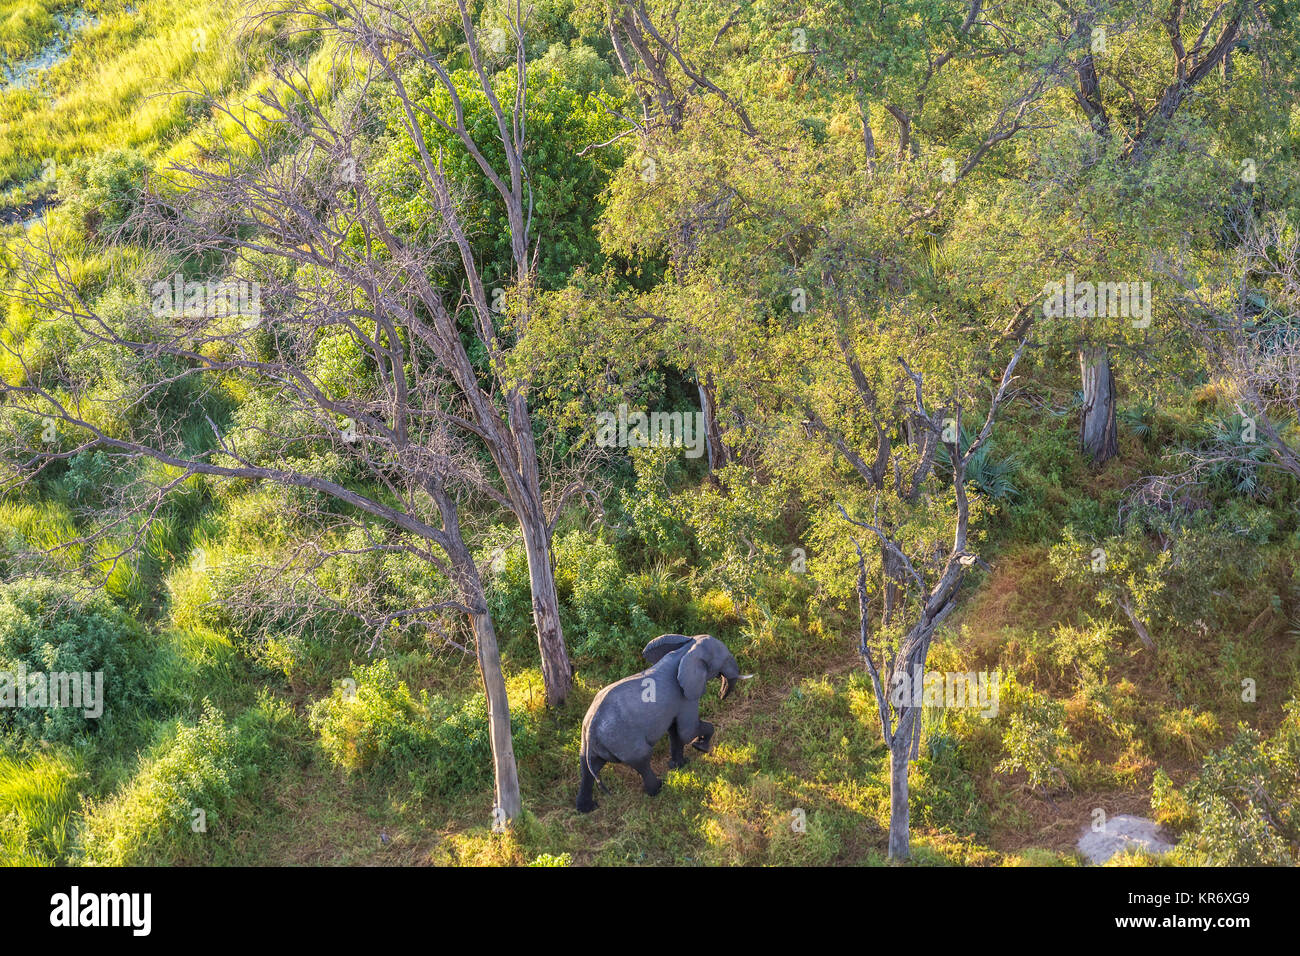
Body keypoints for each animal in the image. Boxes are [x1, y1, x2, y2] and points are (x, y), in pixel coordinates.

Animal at [576, 633, 749, 813]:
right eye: (726, 659)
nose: (721, 695)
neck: (686, 649)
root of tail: (591, 728)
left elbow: (675, 732)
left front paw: (680, 765)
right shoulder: (685, 697)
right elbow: (687, 731)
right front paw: (700, 747)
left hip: (595, 743)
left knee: (587, 766)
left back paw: (587, 808)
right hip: (622, 740)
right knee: (642, 758)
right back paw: (659, 787)